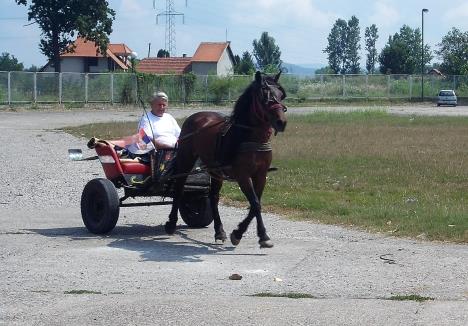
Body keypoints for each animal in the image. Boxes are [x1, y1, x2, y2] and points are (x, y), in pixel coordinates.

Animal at [165, 70, 288, 247]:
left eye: (280, 95)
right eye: (264, 96)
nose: (281, 122)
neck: (250, 137)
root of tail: (195, 116)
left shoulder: (260, 175)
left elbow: (255, 204)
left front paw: (240, 233)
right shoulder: (243, 176)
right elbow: (255, 204)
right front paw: (259, 235)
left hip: (215, 171)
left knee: (213, 197)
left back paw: (219, 231)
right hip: (185, 159)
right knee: (179, 188)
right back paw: (171, 223)